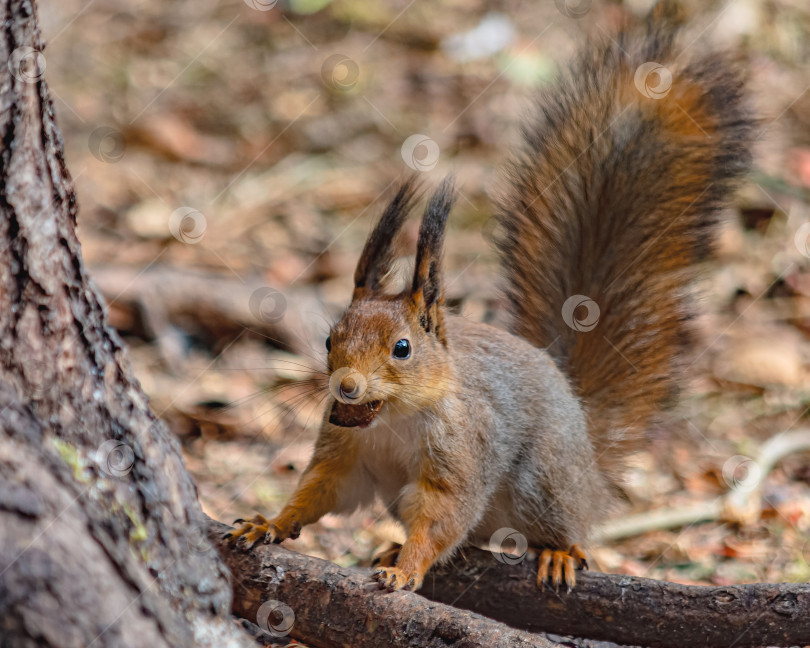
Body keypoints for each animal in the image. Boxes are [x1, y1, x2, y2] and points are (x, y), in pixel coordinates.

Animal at [226, 5, 752, 592]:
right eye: (327, 340)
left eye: (402, 348)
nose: (346, 386)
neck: (393, 420)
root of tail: (589, 463)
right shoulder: (344, 455)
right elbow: (319, 490)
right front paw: (269, 523)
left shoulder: (463, 453)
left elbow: (443, 515)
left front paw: (406, 570)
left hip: (543, 481)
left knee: (565, 529)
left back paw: (557, 552)